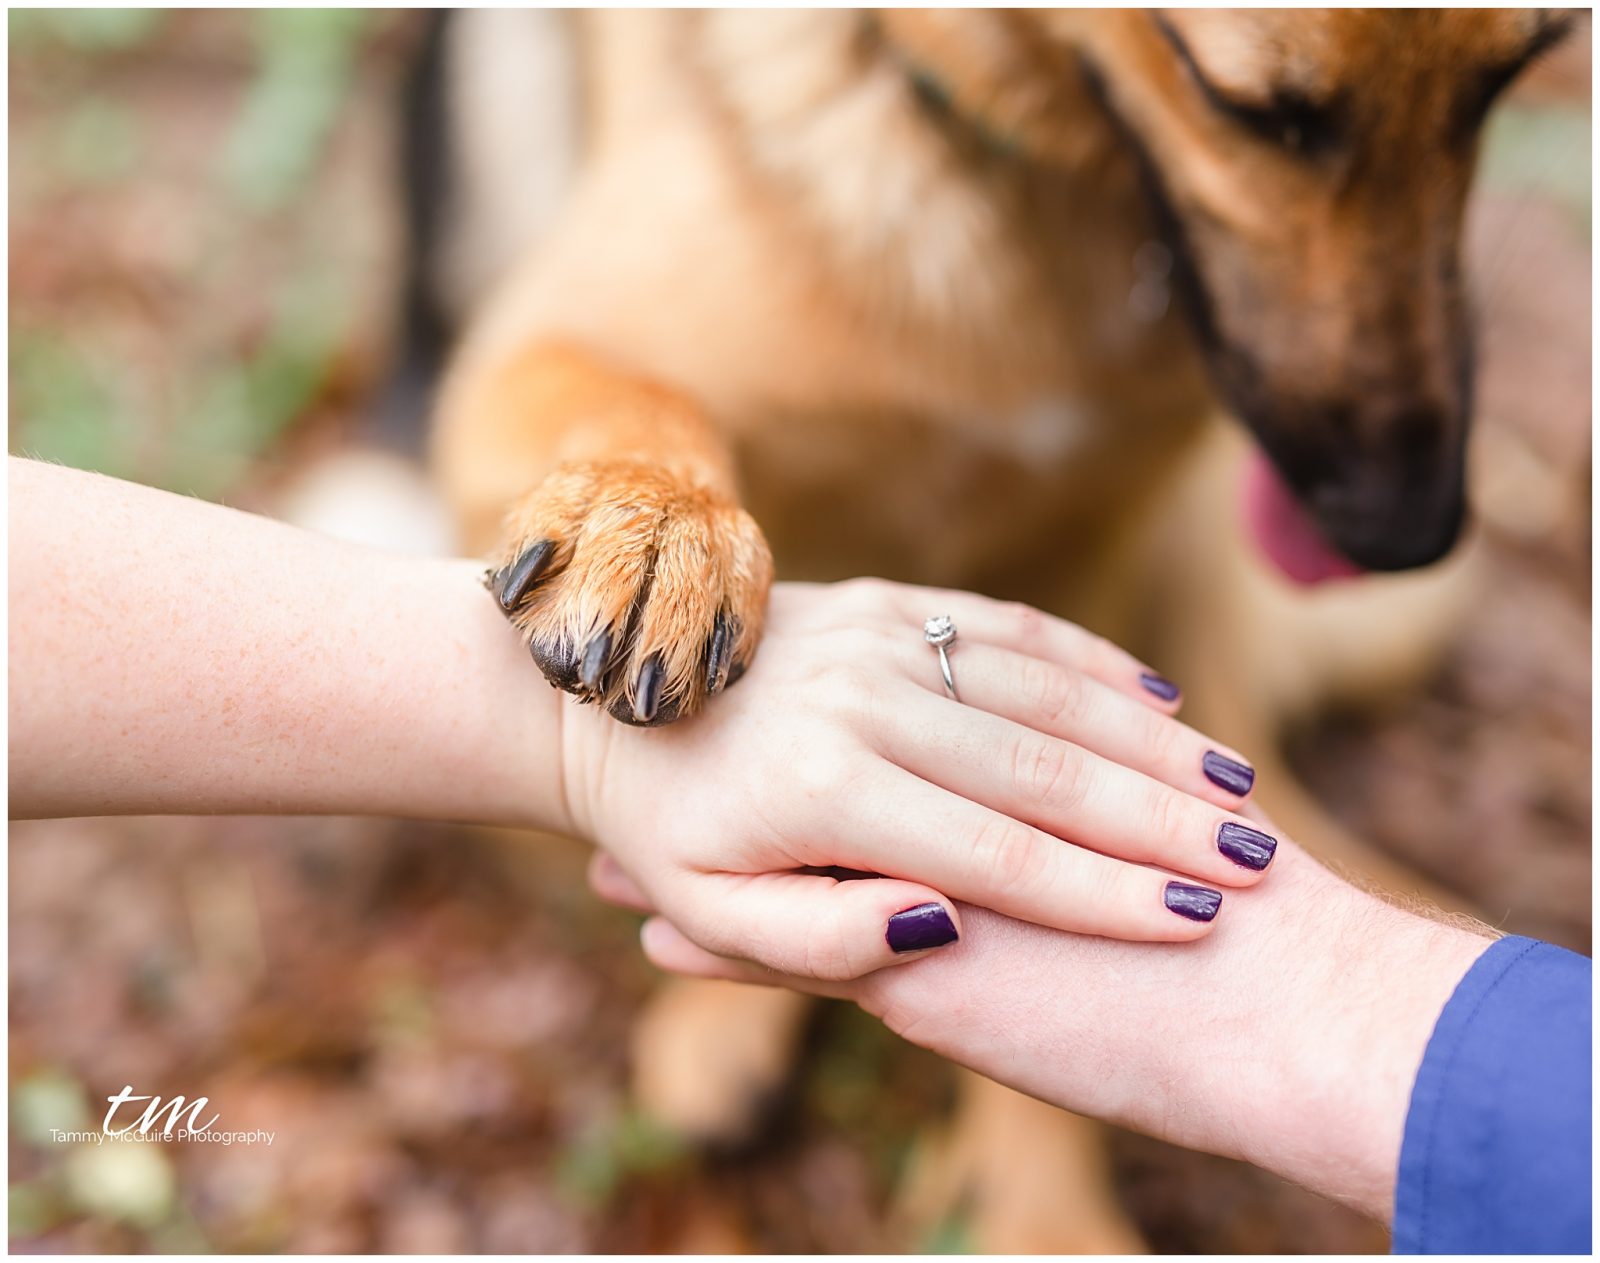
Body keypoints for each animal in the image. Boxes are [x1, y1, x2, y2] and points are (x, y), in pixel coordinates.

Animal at [400, 9, 1574, 1248]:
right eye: (1246, 107)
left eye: (1509, 80)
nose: (1408, 532)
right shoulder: (525, 355)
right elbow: (633, 395)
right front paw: (660, 519)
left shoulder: (1094, 543)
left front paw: (1043, 1208)